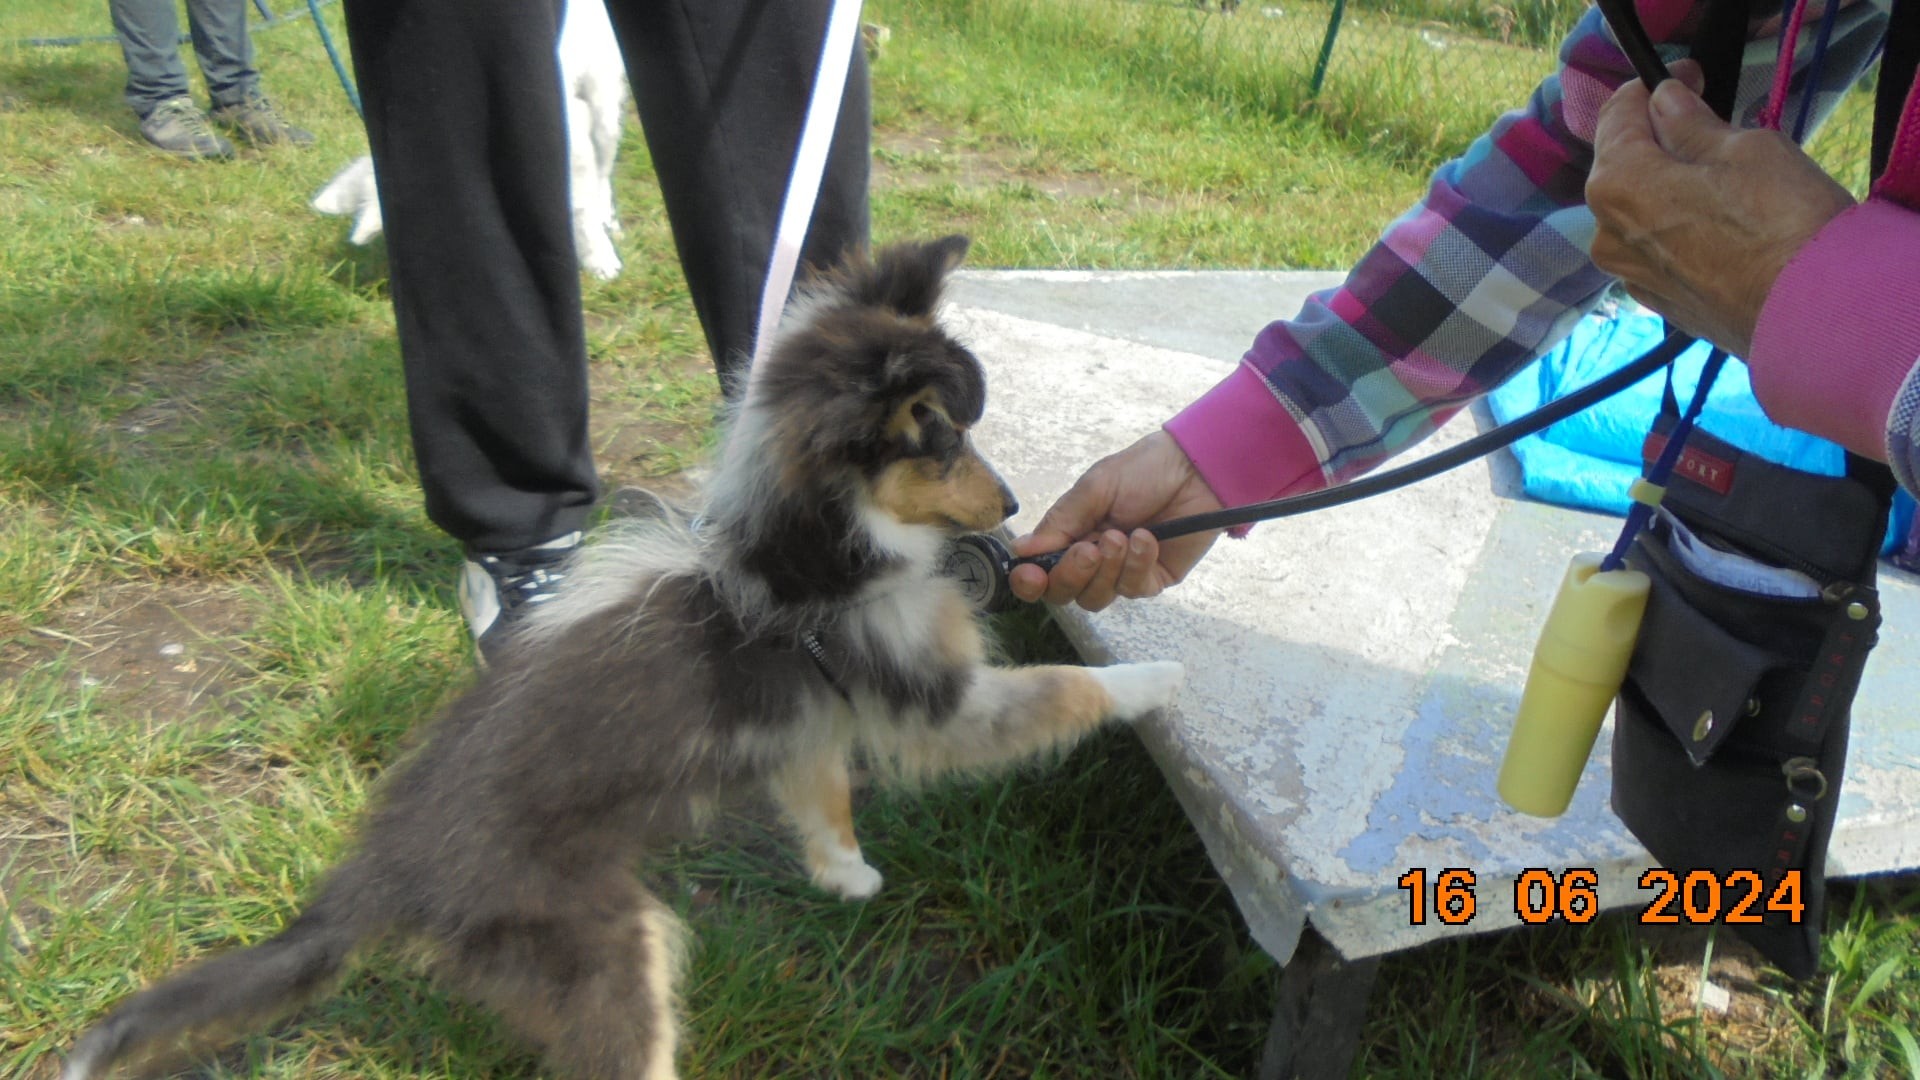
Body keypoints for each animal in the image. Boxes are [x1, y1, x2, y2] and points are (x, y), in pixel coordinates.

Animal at [60, 235, 1182, 1076]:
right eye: (942, 439)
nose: (1015, 503)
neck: (813, 551)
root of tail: (382, 876)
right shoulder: (937, 699)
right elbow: (1063, 687)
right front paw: (1160, 678)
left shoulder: (803, 718)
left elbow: (822, 793)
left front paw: (846, 874)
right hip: (599, 944)